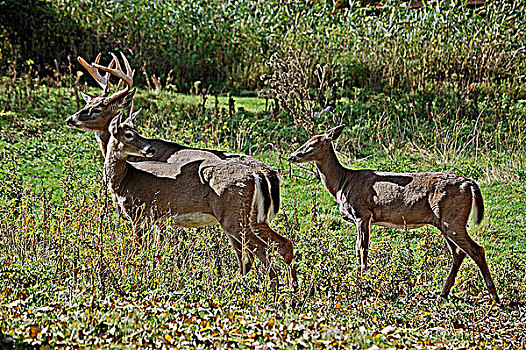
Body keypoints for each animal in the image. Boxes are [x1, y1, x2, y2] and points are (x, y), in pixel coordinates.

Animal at [66, 52, 296, 288]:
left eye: (97, 109)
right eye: (88, 103)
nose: (70, 119)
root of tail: (264, 173)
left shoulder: (143, 214)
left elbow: (144, 250)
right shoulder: (159, 217)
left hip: (234, 218)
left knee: (258, 251)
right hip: (255, 217)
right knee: (280, 245)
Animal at [290, 126, 502, 304]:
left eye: (314, 144)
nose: (292, 156)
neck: (342, 183)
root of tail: (470, 184)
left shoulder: (362, 214)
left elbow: (362, 248)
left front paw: (362, 282)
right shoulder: (365, 218)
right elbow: (359, 249)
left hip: (452, 219)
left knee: (477, 250)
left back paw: (494, 297)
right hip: (445, 222)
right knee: (459, 253)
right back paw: (442, 294)